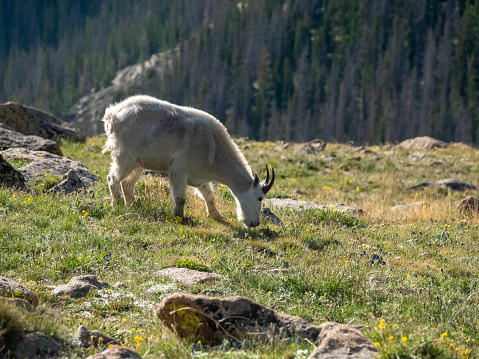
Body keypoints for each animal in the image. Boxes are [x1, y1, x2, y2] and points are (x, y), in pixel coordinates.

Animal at [102, 95, 274, 228]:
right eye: (260, 198)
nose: (255, 223)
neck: (214, 149)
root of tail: (112, 114)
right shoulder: (179, 169)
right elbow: (181, 198)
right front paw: (179, 218)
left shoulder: (200, 176)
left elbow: (209, 196)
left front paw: (217, 216)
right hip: (125, 156)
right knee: (112, 178)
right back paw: (117, 203)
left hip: (139, 163)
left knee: (127, 184)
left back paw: (132, 205)